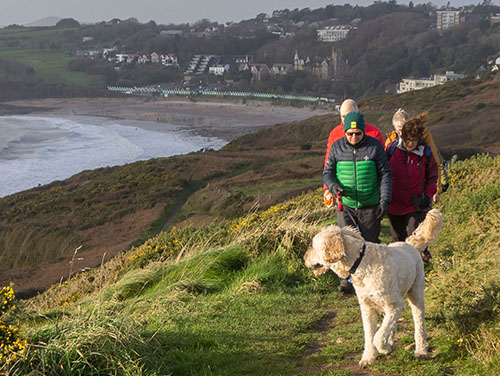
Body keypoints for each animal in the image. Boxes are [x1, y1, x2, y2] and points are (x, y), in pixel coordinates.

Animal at [304, 209, 442, 368]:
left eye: (314, 246)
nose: (304, 257)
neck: (361, 261)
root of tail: (409, 244)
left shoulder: (395, 305)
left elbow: (377, 336)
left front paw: (383, 348)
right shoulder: (367, 308)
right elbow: (370, 336)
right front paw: (368, 358)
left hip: (415, 294)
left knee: (418, 323)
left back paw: (421, 350)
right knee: (391, 324)